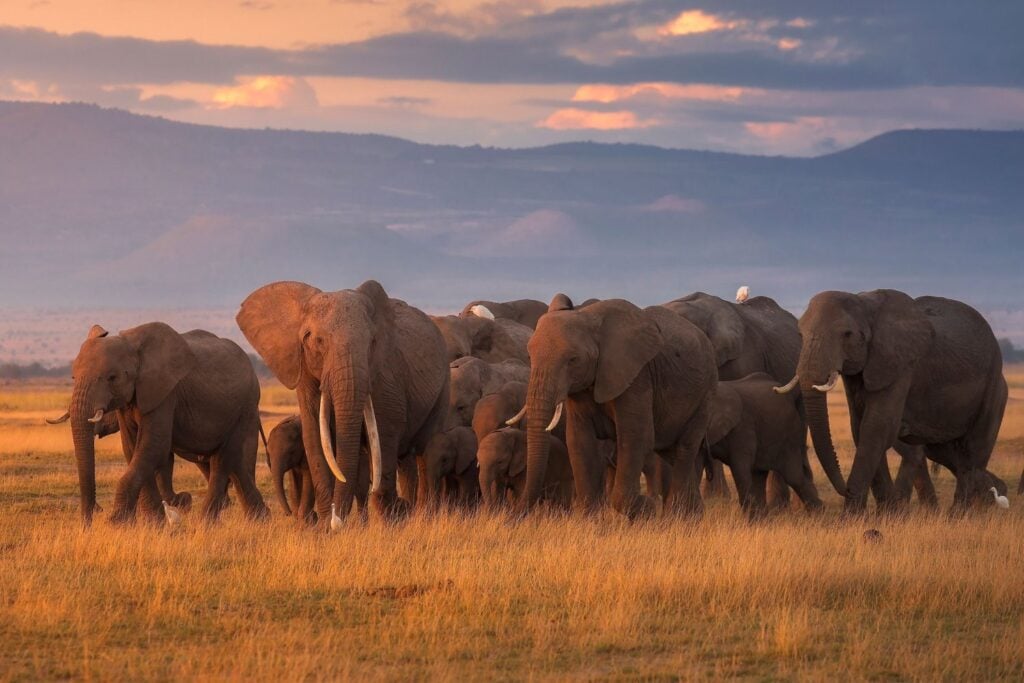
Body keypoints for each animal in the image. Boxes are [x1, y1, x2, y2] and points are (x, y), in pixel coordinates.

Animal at [53, 323, 268, 526]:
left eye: (112, 378)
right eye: (73, 377)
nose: (92, 517)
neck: (132, 346)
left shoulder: (165, 393)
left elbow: (153, 445)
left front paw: (117, 523)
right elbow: (134, 448)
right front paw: (153, 523)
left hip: (245, 406)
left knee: (223, 459)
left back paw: (207, 522)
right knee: (234, 461)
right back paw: (260, 518)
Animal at [237, 280, 450, 527]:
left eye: (372, 343)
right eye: (318, 340)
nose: (337, 520)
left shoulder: (386, 377)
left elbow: (384, 434)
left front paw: (389, 521)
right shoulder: (304, 371)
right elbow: (315, 436)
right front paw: (326, 527)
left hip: (443, 386)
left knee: (424, 449)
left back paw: (421, 516)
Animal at [522, 296, 718, 519]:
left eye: (573, 360)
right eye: (529, 358)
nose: (517, 515)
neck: (587, 316)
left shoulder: (637, 377)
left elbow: (636, 438)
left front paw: (647, 509)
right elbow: (579, 441)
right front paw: (590, 520)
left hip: (706, 393)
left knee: (685, 448)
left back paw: (676, 516)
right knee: (673, 453)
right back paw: (694, 517)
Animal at [707, 373, 822, 517]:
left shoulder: (743, 426)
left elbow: (740, 467)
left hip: (788, 437)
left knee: (794, 476)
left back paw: (819, 514)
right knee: (760, 475)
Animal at [777, 289, 1007, 514]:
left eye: (847, 334)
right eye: (800, 334)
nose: (845, 489)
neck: (864, 302)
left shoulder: (900, 364)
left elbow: (876, 427)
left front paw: (851, 517)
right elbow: (860, 427)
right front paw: (885, 513)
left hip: (993, 388)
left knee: (973, 451)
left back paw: (961, 514)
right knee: (946, 453)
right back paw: (992, 493)